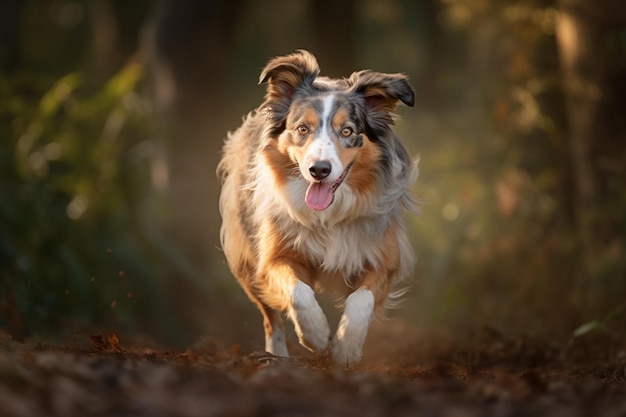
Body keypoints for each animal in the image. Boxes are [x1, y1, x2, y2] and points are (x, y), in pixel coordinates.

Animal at [217, 49, 416, 364]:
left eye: (347, 131)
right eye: (302, 128)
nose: (319, 170)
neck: (328, 215)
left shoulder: (384, 258)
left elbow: (361, 299)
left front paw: (346, 347)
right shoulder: (274, 256)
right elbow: (298, 292)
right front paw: (317, 335)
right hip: (246, 257)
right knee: (270, 317)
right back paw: (276, 356)